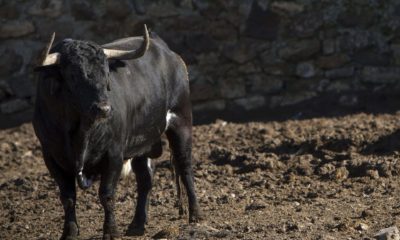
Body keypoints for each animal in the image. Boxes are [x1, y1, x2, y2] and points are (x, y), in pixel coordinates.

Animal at [33, 27, 203, 239]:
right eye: (73, 75)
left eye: (106, 72)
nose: (104, 108)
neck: (81, 132)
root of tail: (166, 49)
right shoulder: (51, 158)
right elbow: (68, 198)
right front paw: (70, 232)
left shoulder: (113, 154)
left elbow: (106, 195)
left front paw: (111, 231)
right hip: (142, 143)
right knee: (145, 179)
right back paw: (137, 224)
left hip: (181, 122)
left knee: (185, 165)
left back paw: (195, 215)